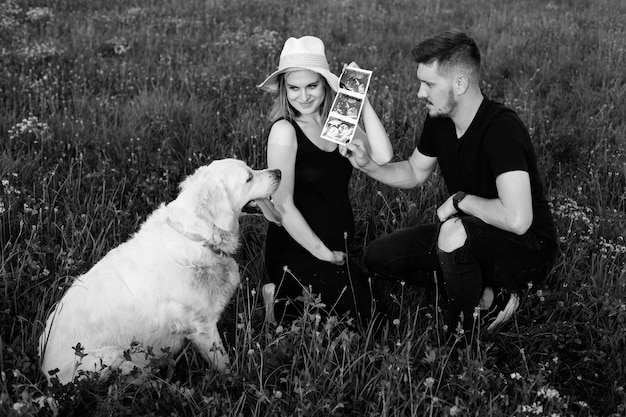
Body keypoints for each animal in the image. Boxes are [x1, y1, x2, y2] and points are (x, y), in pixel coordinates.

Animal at [38, 158, 280, 384]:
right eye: (249, 177)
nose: (278, 172)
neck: (199, 237)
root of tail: (46, 371)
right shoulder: (202, 326)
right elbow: (223, 362)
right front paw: (234, 379)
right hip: (113, 357)